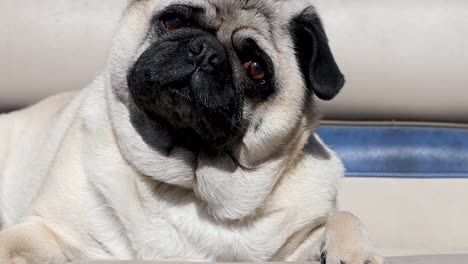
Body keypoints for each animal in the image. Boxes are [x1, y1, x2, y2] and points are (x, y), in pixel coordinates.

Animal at [0, 0, 386, 264]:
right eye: (173, 20)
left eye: (256, 68)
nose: (205, 51)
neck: (185, 184)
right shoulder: (46, 230)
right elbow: (11, 242)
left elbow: (343, 217)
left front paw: (355, 253)